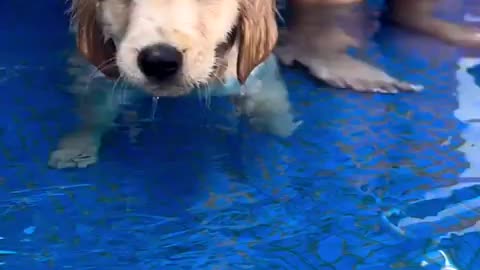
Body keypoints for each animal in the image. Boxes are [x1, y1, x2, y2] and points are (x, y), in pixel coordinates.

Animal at [51, 0, 300, 169]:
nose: (159, 60)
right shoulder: (98, 74)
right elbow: (94, 111)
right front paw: (77, 146)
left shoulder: (252, 75)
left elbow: (268, 101)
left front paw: (280, 127)